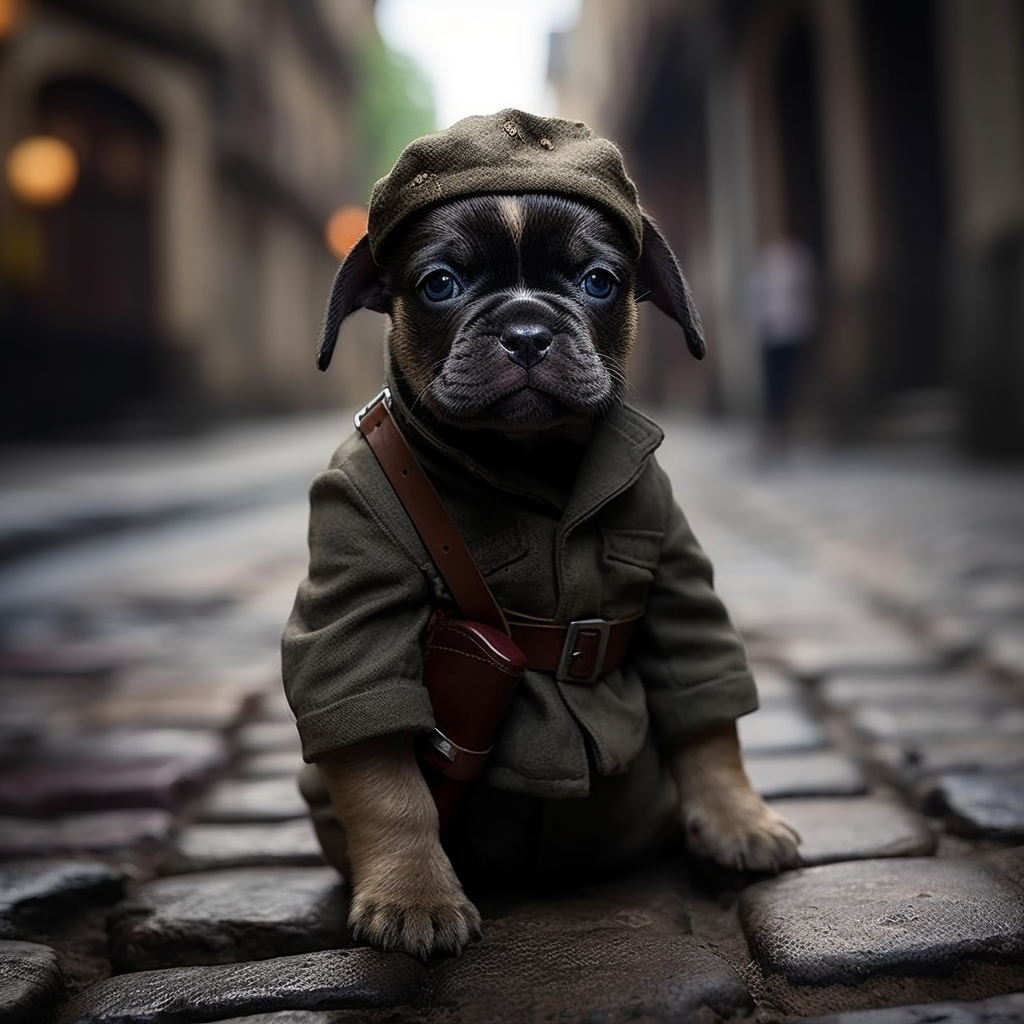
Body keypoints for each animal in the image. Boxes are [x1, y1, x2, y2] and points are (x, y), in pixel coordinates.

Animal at [284, 112, 802, 958]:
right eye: (439, 284)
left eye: (599, 282)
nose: (527, 329)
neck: (531, 462)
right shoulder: (353, 612)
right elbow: (387, 780)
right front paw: (413, 893)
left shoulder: (678, 580)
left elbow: (708, 719)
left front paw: (737, 818)